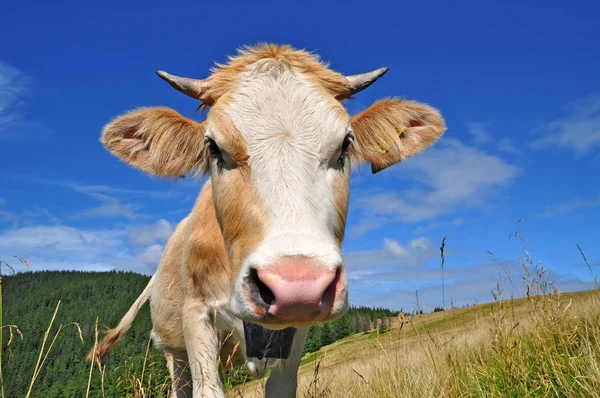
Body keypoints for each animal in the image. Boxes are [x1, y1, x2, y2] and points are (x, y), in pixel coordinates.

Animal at [88, 43, 446, 398]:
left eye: (346, 144)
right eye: (213, 147)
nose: (297, 286)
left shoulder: (297, 330)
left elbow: (282, 386)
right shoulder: (196, 315)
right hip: (172, 351)